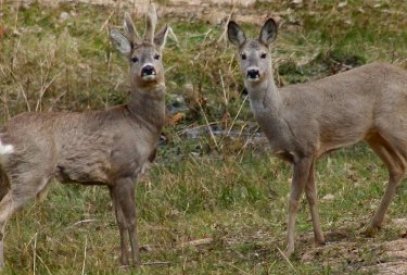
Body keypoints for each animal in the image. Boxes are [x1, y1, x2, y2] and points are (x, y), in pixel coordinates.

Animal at [0, 4, 169, 268]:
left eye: (157, 56)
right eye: (134, 58)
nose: (148, 70)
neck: (139, 123)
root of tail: (5, 134)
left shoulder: (111, 180)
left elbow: (119, 220)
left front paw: (122, 260)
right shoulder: (125, 171)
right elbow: (132, 219)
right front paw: (137, 262)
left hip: (8, 177)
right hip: (29, 171)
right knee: (2, 215)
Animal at [228, 18, 407, 258]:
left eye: (264, 54)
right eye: (243, 55)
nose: (253, 72)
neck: (282, 113)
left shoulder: (305, 149)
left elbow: (293, 200)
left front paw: (288, 249)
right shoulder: (311, 152)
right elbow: (312, 194)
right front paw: (319, 239)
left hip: (393, 123)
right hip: (374, 133)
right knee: (397, 167)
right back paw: (371, 227)